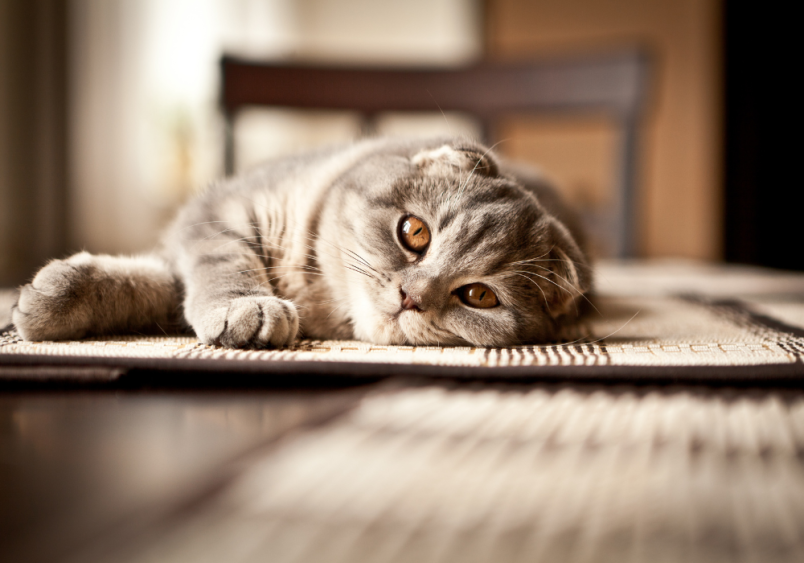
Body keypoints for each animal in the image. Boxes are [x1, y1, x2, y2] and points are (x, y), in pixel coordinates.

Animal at [11, 137, 592, 348]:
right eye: (415, 232)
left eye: (479, 296)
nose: (412, 297)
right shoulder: (218, 213)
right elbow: (191, 270)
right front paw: (47, 298)